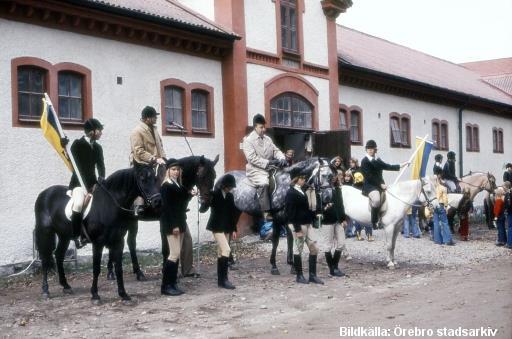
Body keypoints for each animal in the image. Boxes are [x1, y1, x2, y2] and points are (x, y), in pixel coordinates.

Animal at [35, 165, 162, 302]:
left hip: (64, 236)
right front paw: (95, 295)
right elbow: (96, 268)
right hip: (45, 233)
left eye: (155, 178)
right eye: (142, 180)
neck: (109, 205)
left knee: (58, 255)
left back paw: (66, 286)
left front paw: (123, 294)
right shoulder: (98, 243)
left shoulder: (118, 241)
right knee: (45, 258)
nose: (157, 201)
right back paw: (45, 290)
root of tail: (45, 193)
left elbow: (119, 269)